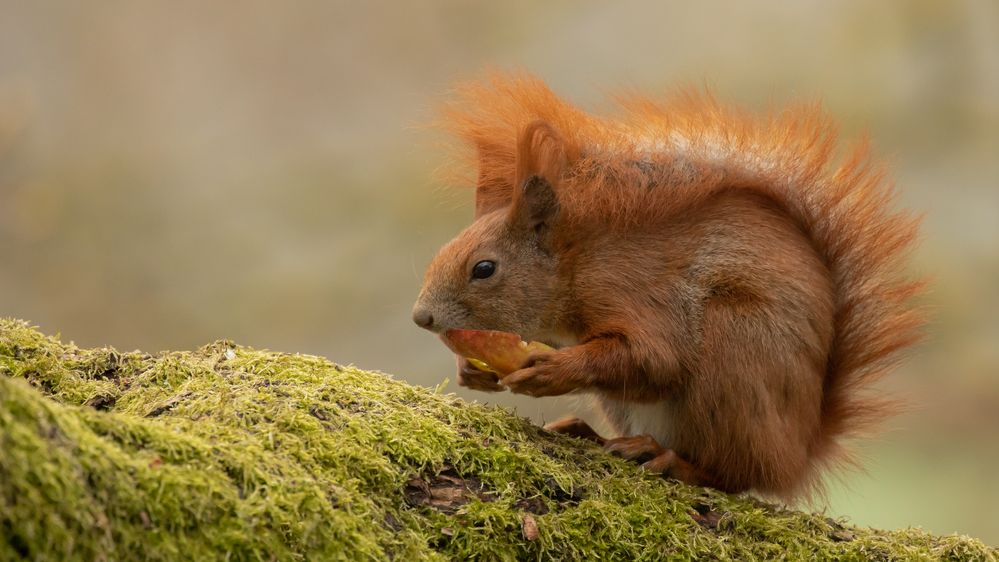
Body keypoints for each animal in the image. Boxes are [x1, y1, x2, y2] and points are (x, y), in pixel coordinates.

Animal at [410, 74, 924, 498]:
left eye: (484, 268)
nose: (421, 316)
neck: (576, 267)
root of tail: (797, 455)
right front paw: (470, 370)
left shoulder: (634, 293)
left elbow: (655, 359)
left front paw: (550, 370)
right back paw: (593, 434)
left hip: (734, 351)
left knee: (734, 475)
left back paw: (670, 460)